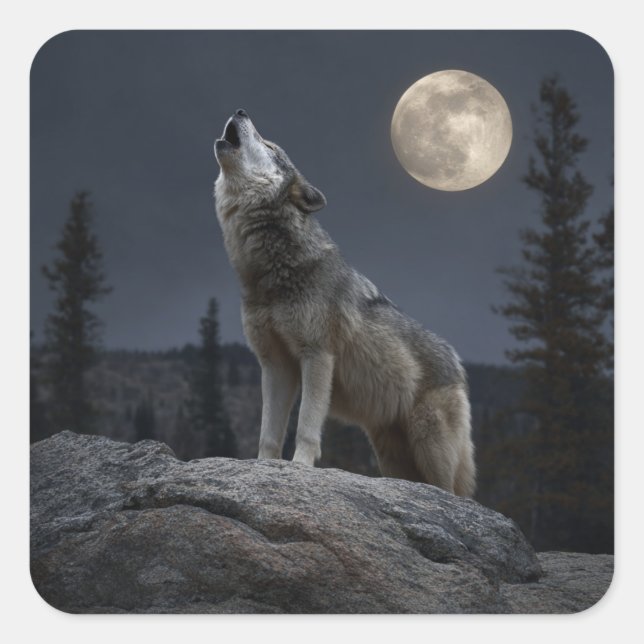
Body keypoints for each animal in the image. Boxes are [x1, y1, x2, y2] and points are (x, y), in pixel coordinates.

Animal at [214, 109, 475, 496]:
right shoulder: (274, 365)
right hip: (390, 454)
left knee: (452, 493)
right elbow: (269, 434)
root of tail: (458, 364)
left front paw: (299, 468)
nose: (241, 110)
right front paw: (263, 469)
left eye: (270, 145)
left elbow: (306, 427)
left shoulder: (317, 355)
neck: (270, 274)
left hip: (429, 445)